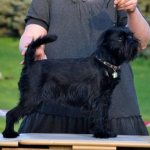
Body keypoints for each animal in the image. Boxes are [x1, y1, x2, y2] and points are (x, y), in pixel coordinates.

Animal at [2, 26, 139, 138]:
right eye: (120, 38)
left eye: (131, 35)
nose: (133, 40)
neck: (105, 62)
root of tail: (30, 64)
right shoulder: (97, 99)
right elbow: (99, 115)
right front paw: (101, 133)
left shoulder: (105, 98)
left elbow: (104, 116)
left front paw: (107, 132)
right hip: (31, 99)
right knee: (10, 113)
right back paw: (9, 134)